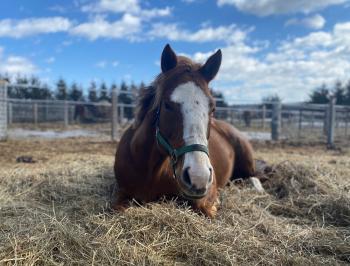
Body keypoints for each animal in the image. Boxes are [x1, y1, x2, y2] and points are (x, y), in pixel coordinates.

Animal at [112, 44, 258, 218]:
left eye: (213, 108)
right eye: (167, 105)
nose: (198, 177)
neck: (149, 170)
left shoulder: (207, 195)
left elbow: (207, 209)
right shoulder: (121, 194)